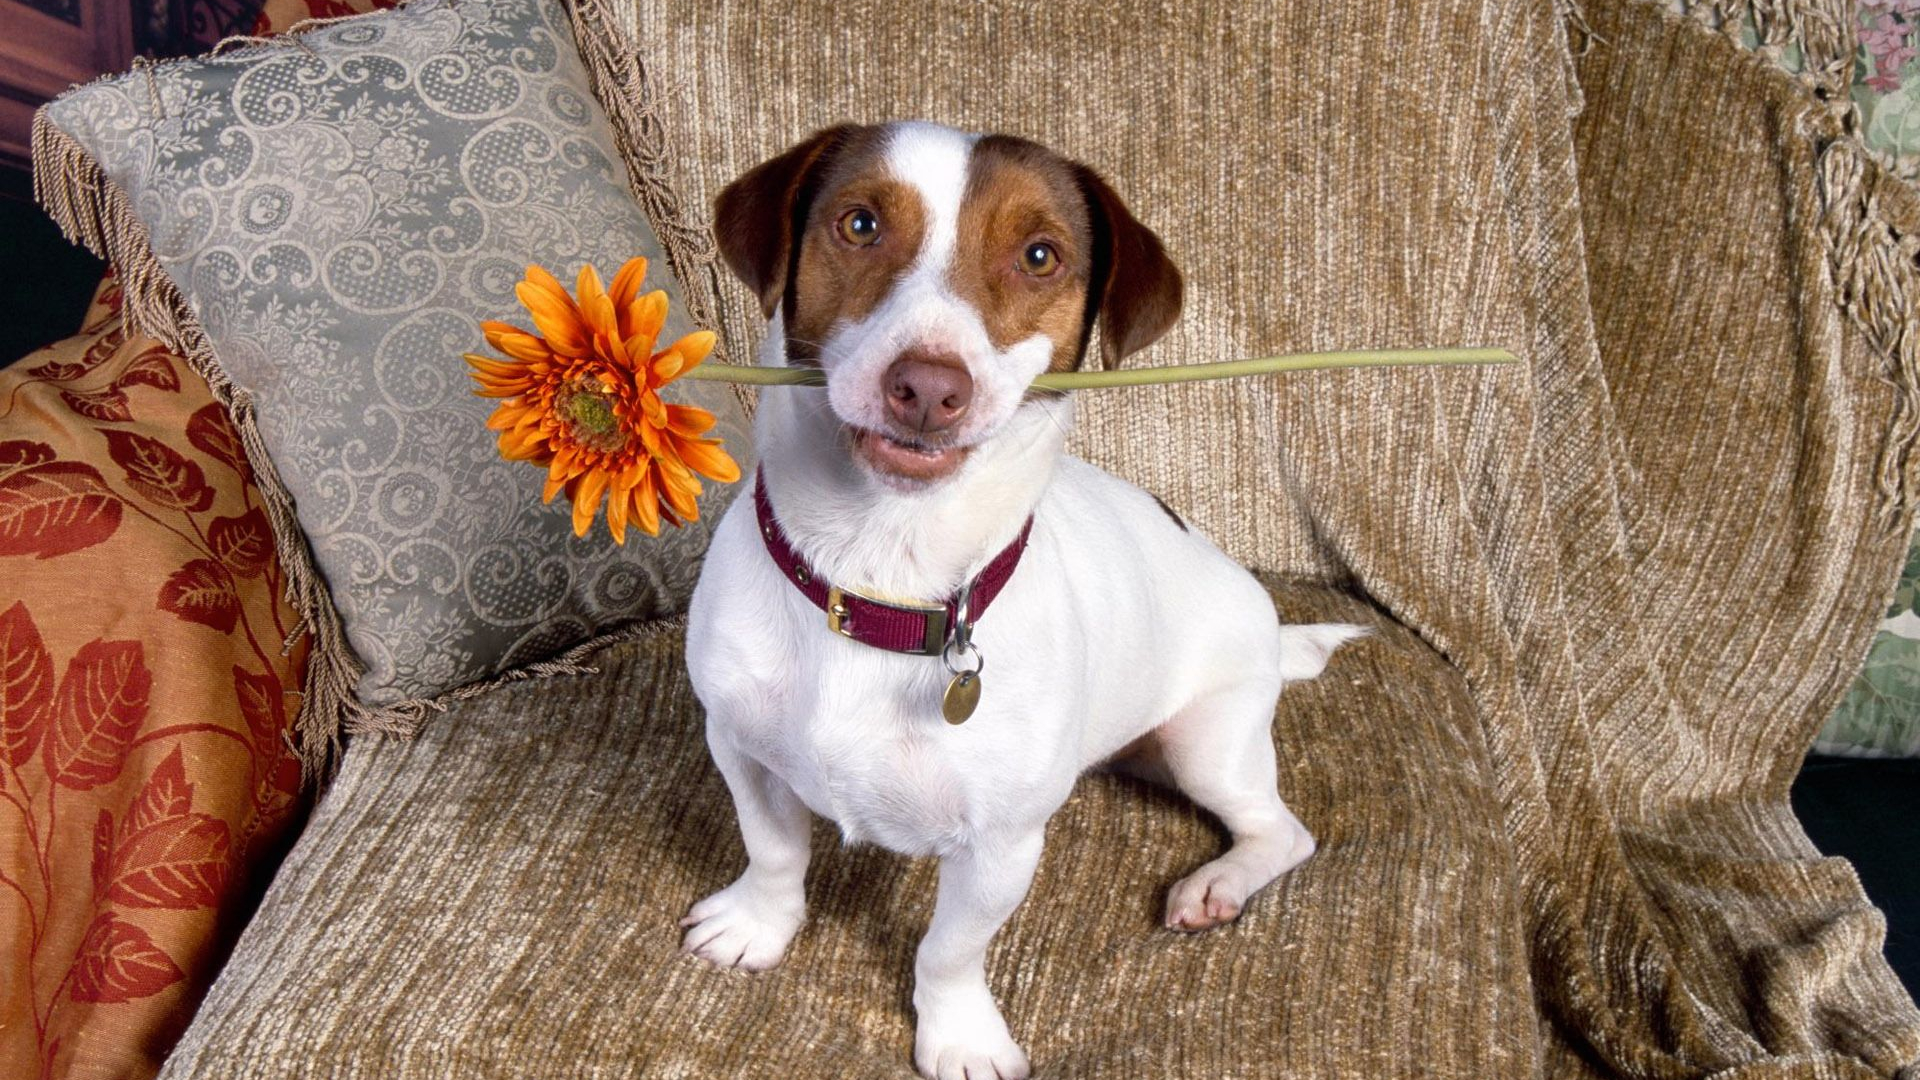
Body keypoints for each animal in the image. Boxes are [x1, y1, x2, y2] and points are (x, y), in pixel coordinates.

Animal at [681, 121, 1364, 1080]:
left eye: (1040, 255)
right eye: (859, 224)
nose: (929, 386)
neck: (882, 580)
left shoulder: (1001, 847)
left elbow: (948, 950)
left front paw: (959, 1034)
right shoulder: (740, 748)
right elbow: (774, 851)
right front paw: (758, 927)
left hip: (1210, 742)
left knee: (1281, 831)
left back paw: (1218, 885)